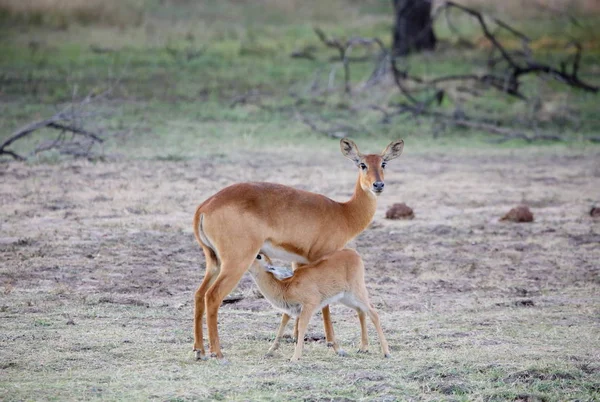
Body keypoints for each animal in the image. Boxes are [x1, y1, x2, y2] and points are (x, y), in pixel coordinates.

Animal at [250, 248, 394, 362]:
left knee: (373, 312)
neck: (286, 286)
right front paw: (270, 351)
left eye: (259, 256)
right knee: (361, 311)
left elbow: (301, 327)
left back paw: (386, 353)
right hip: (347, 298)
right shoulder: (293, 310)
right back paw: (363, 348)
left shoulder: (309, 306)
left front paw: (295, 357)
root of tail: (354, 253)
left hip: (357, 292)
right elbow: (282, 325)